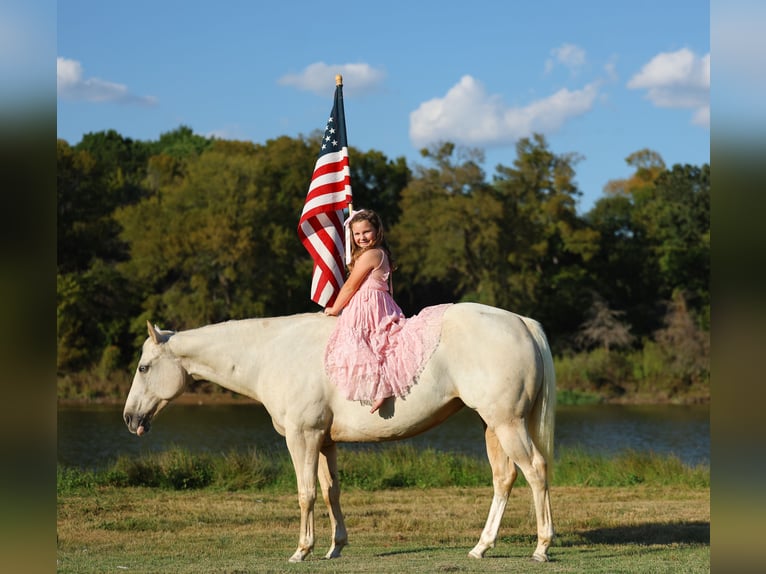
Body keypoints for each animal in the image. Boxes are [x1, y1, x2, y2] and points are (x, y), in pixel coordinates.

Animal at [122, 302, 556, 563]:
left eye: (143, 367)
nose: (129, 418)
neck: (271, 352)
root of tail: (522, 322)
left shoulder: (302, 438)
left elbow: (305, 494)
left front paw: (302, 549)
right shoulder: (324, 441)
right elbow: (331, 492)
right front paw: (335, 547)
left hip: (507, 424)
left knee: (535, 471)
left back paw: (541, 546)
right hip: (493, 426)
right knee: (504, 478)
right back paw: (482, 547)